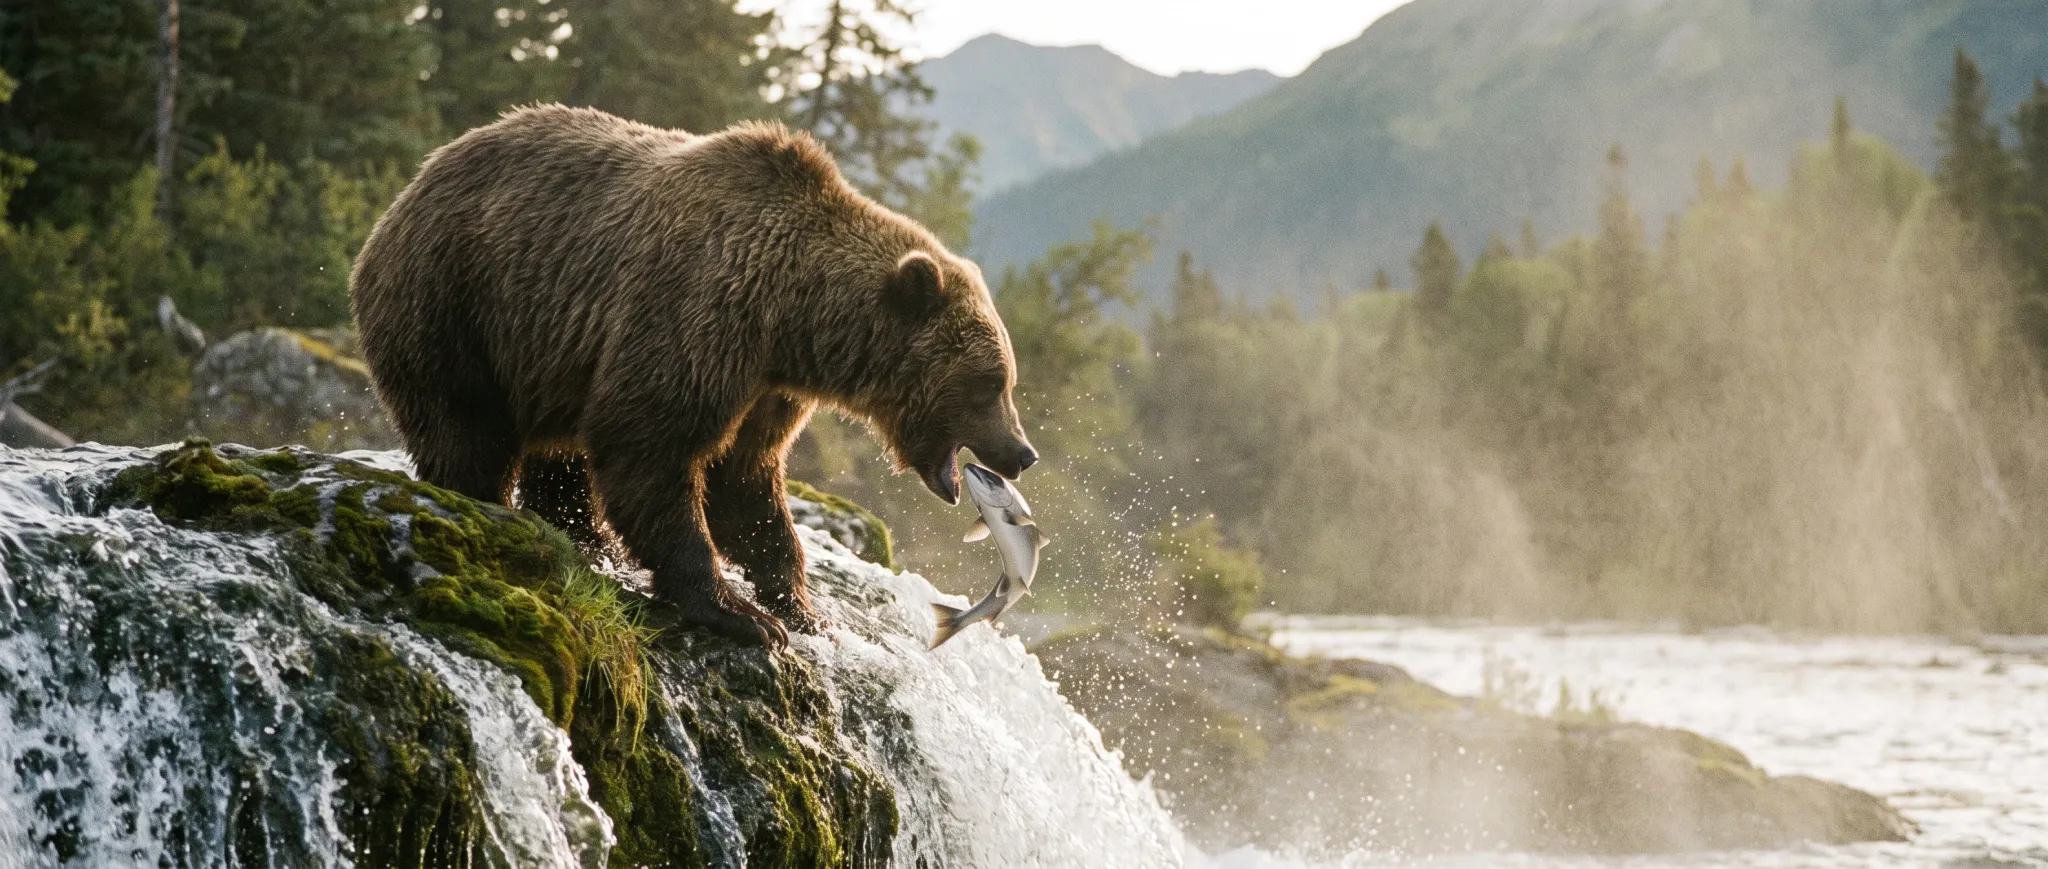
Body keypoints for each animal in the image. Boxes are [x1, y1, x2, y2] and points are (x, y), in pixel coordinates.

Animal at [349, 105, 1038, 647]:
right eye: (991, 382)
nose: (1022, 452)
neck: (793, 319)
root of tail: (412, 184)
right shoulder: (700, 315)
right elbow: (651, 446)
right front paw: (740, 614)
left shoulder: (766, 388)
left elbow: (746, 482)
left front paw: (803, 608)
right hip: (454, 302)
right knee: (465, 428)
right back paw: (483, 502)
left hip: (548, 357)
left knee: (559, 454)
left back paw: (585, 538)